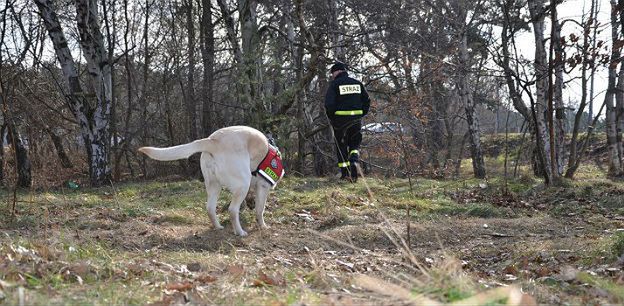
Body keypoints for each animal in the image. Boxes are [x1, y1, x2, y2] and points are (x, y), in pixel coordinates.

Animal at [139, 125, 282, 235]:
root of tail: (212, 141)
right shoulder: (264, 186)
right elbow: (260, 209)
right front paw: (263, 226)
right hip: (242, 183)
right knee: (232, 210)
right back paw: (240, 232)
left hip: (214, 185)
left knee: (210, 208)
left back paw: (218, 227)